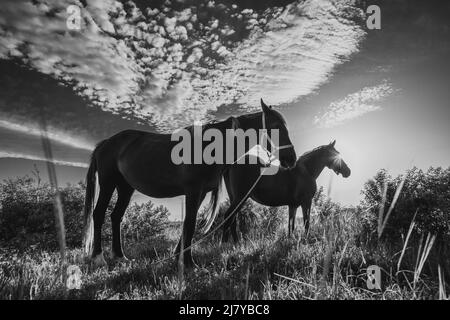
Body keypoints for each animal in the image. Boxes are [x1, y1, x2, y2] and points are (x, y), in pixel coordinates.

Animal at [82, 98, 298, 268]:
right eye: (276, 126)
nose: (291, 159)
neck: (211, 146)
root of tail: (106, 143)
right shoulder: (193, 191)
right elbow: (191, 224)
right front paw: (188, 263)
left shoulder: (200, 193)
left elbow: (188, 224)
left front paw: (179, 256)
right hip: (109, 184)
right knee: (98, 214)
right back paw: (98, 257)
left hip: (125, 188)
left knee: (116, 217)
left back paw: (120, 256)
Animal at [221, 140, 352, 242]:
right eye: (335, 153)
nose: (348, 172)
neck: (305, 171)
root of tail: (232, 164)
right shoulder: (306, 202)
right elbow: (306, 222)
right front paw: (306, 239)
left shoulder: (293, 205)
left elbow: (291, 226)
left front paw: (290, 241)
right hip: (240, 198)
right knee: (228, 217)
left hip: (235, 199)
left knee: (232, 219)